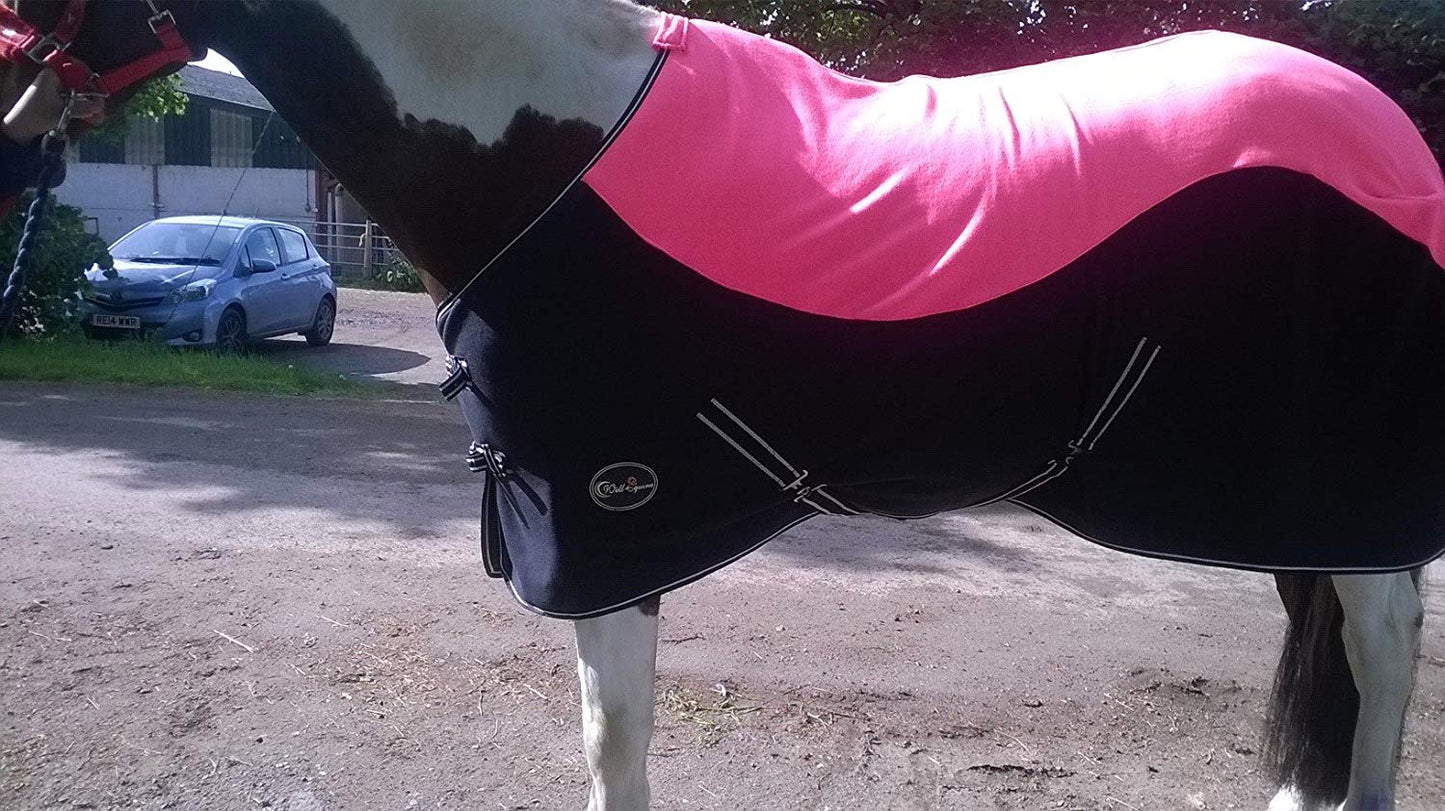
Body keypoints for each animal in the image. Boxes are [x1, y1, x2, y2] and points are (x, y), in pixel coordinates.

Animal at [1, 2, 1436, 808]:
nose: (16, 140)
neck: (543, 139)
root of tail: (1385, 132)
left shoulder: (606, 525)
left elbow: (614, 742)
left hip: (1342, 479)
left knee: (1377, 654)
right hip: (1289, 490)